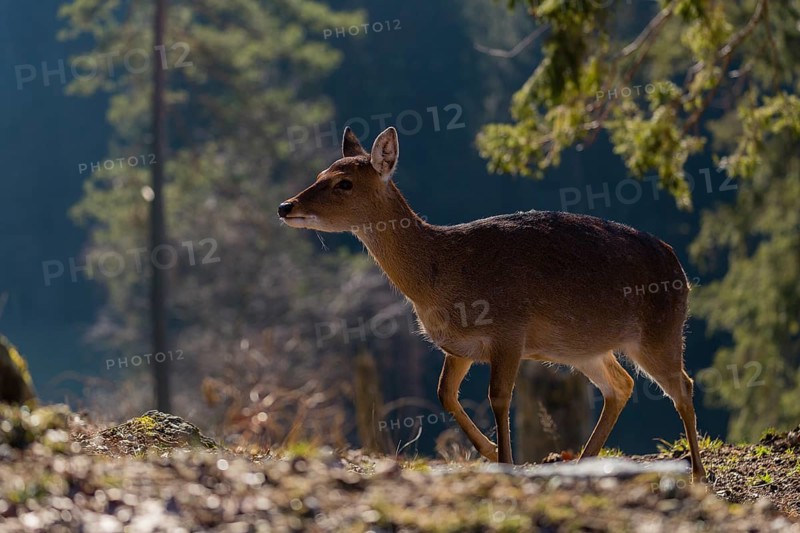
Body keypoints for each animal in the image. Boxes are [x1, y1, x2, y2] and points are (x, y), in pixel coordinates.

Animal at [278, 126, 706, 482]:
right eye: (320, 174)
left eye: (344, 183)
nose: (286, 206)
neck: (441, 276)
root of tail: (679, 269)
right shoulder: (459, 347)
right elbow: (444, 394)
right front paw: (488, 450)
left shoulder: (509, 332)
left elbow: (498, 397)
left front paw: (506, 461)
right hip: (585, 349)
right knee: (621, 385)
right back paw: (586, 460)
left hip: (659, 333)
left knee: (682, 385)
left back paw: (698, 474)